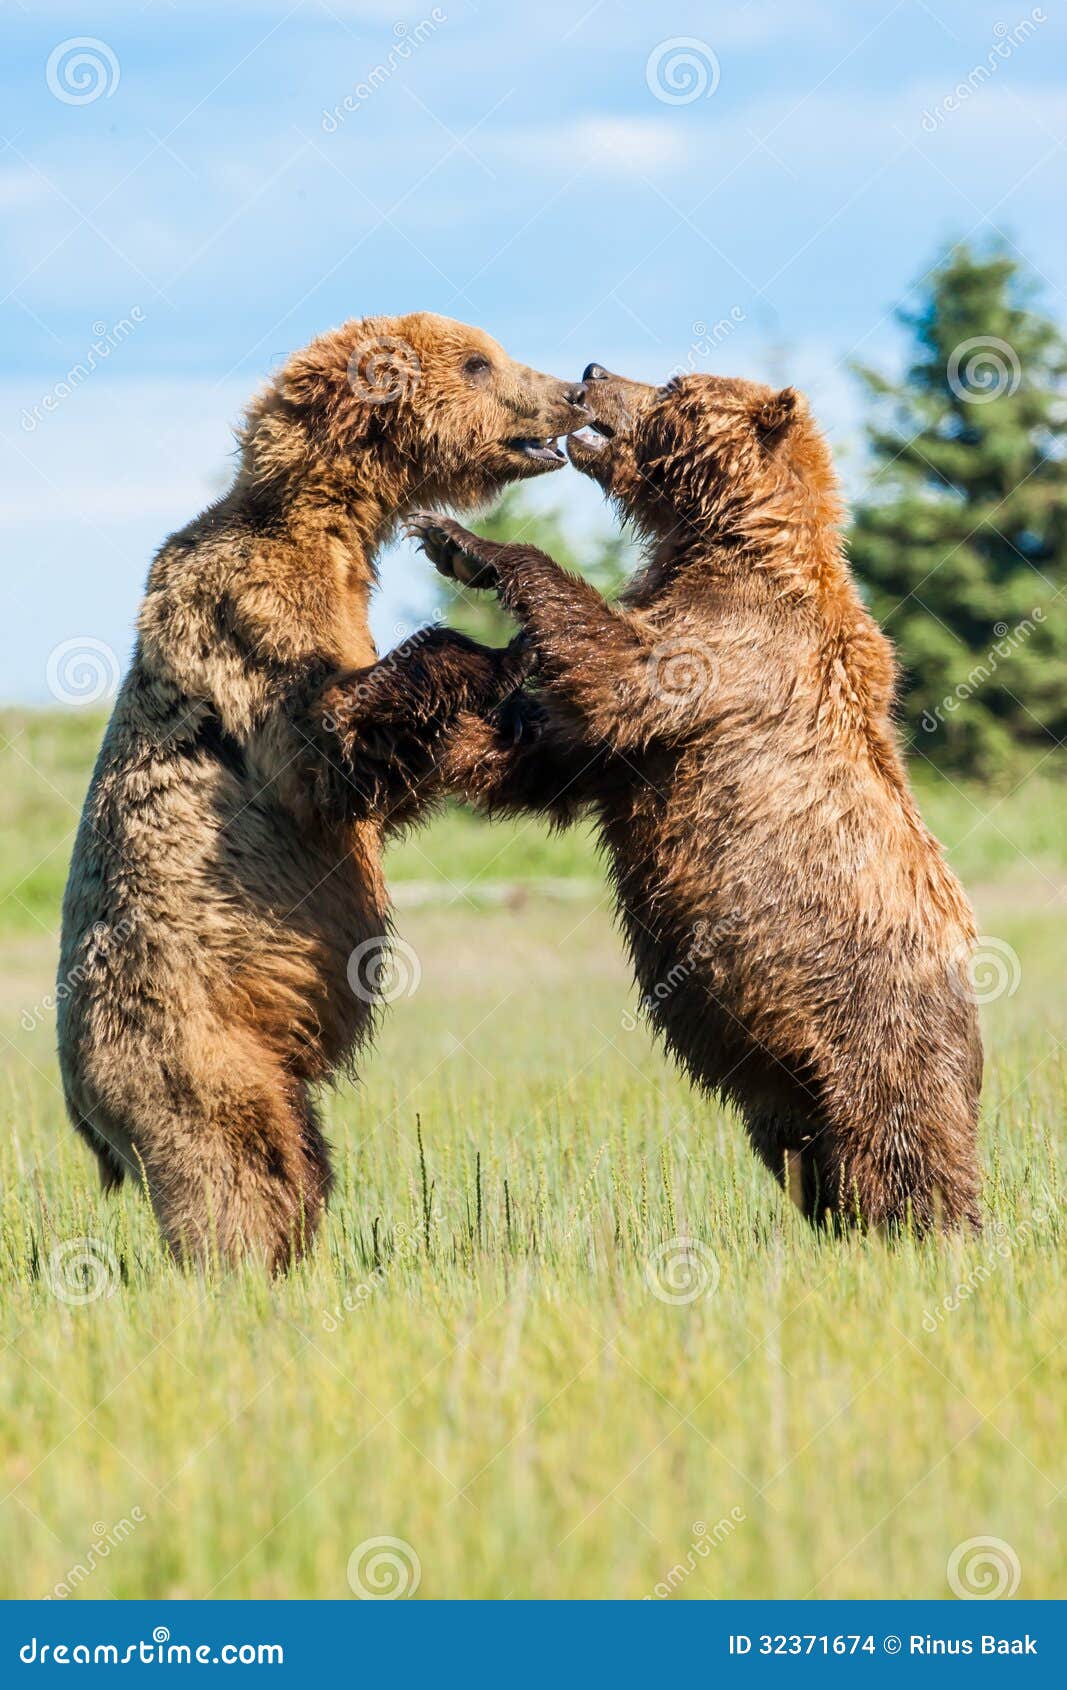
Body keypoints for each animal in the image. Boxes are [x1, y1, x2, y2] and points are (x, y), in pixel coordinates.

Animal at [57, 312, 590, 1271]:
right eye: (478, 361)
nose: (569, 390)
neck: (331, 526)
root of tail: (75, 1099)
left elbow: (397, 765)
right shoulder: (250, 614)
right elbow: (327, 746)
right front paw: (506, 645)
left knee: (298, 1156)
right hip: (189, 1046)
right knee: (236, 1166)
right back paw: (244, 1270)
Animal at [402, 365, 983, 1232]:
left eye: (674, 384)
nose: (594, 371)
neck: (725, 536)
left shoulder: (732, 646)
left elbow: (616, 666)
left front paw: (464, 541)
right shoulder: (644, 732)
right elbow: (560, 754)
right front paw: (434, 715)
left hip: (872, 1028)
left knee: (898, 1145)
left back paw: (923, 1232)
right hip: (784, 1074)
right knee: (803, 1152)